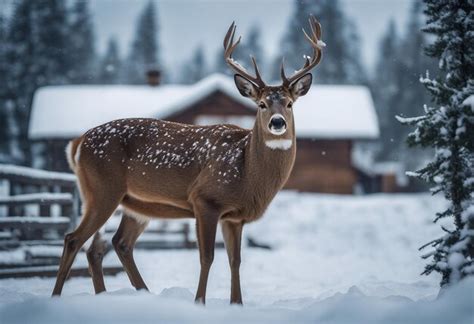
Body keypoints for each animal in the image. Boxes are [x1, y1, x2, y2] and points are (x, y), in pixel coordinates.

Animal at [53, 15, 324, 304]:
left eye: (290, 104)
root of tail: (78, 142)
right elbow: (207, 256)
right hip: (102, 190)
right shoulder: (205, 199)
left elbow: (235, 260)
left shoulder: (234, 217)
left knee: (115, 244)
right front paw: (199, 302)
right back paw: (57, 296)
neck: (246, 172)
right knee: (74, 239)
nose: (277, 122)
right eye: (261, 104)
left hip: (135, 204)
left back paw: (133, 294)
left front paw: (237, 304)